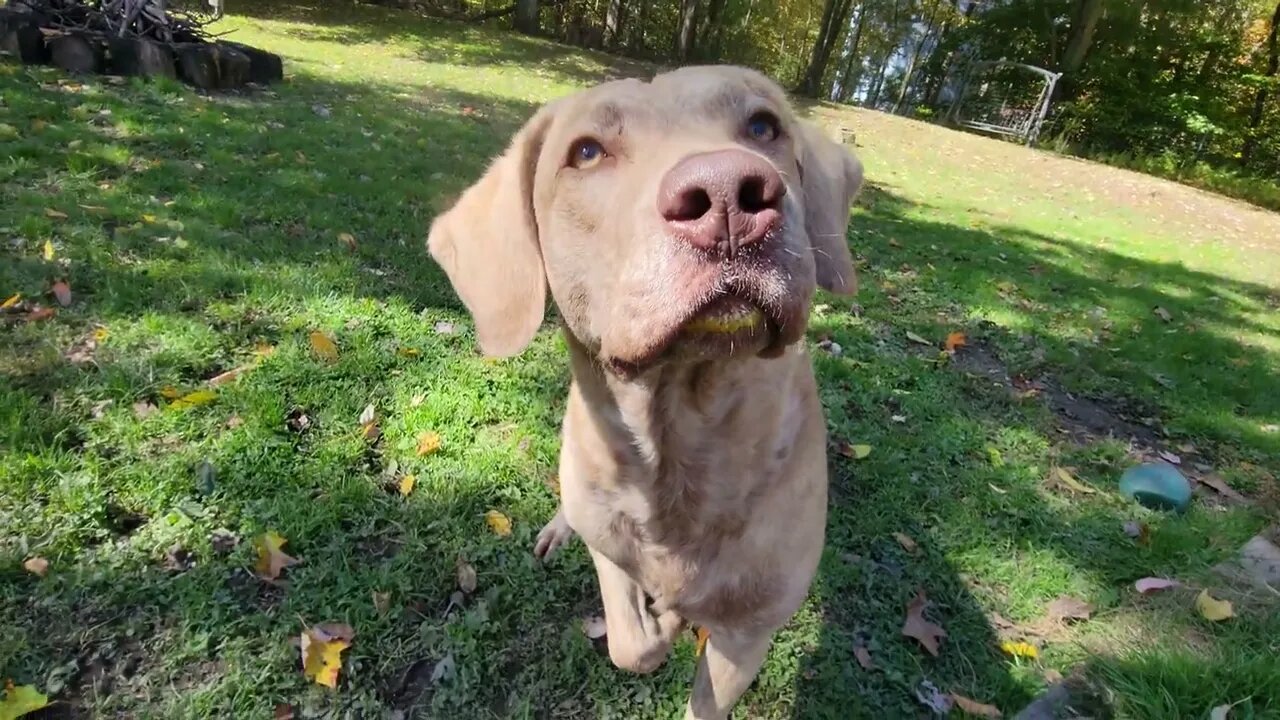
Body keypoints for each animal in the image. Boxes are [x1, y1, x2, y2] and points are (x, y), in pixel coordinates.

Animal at [427, 64, 860, 712]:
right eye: (585, 152)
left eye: (764, 126)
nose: (729, 194)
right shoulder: (610, 543)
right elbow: (630, 644)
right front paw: (660, 618)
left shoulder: (749, 631)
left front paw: (676, 613)